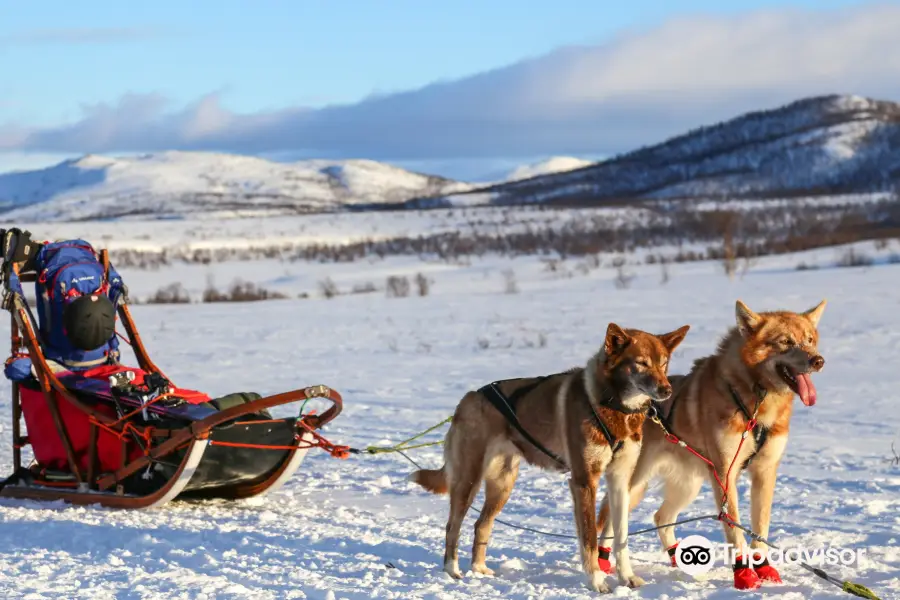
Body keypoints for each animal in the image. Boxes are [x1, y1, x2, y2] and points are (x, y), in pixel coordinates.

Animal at [414, 324, 688, 592]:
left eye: (663, 362)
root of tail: (468, 398)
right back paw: (452, 570)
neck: (613, 406)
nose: (667, 390)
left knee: (481, 524)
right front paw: (597, 582)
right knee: (453, 526)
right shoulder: (584, 481)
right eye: (641, 363)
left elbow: (620, 535)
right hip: (468, 481)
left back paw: (480, 568)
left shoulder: (620, 481)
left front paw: (627, 577)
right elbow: (589, 538)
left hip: (502, 485)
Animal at [600, 300, 828, 592]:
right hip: (634, 483)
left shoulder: (765, 472)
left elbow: (760, 527)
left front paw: (764, 568)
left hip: (688, 485)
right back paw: (603, 561)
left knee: (661, 517)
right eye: (785, 342)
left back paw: (678, 557)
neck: (756, 400)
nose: (818, 360)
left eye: (809, 340)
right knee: (611, 520)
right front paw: (744, 575)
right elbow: (734, 529)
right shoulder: (725, 473)